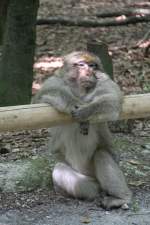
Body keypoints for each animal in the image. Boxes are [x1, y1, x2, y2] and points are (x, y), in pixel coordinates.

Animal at [32, 51, 132, 209]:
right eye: (81, 64)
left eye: (92, 65)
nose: (89, 71)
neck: (80, 91)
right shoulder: (55, 80)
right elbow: (42, 95)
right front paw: (74, 104)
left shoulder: (104, 79)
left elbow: (112, 99)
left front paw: (86, 111)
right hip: (85, 181)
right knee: (60, 169)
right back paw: (94, 194)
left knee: (102, 154)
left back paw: (121, 198)